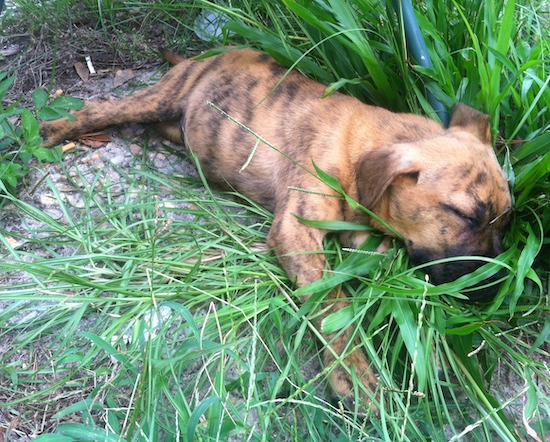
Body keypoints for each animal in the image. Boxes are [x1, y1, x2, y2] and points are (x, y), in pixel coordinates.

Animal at [41, 46, 516, 410]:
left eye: (505, 220)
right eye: (466, 215)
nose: (496, 288)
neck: (361, 147)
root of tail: (206, 55)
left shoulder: (358, 230)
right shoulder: (297, 232)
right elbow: (332, 306)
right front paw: (353, 374)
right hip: (160, 96)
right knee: (101, 110)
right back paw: (53, 129)